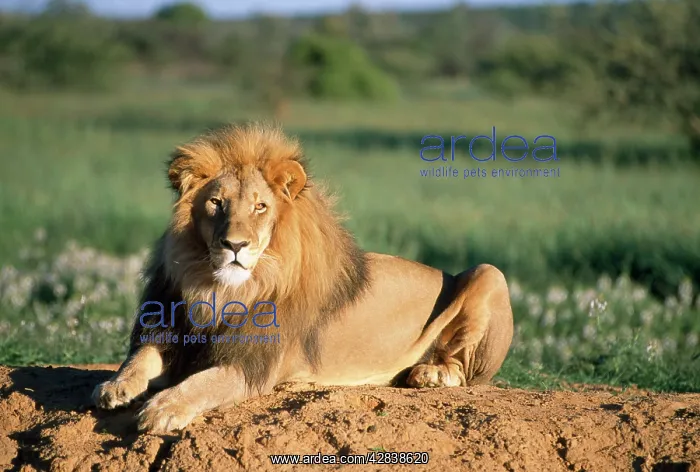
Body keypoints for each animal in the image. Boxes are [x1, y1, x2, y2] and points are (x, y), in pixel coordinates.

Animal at [92, 122, 514, 433]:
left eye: (260, 207)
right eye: (215, 202)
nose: (234, 245)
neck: (217, 289)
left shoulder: (252, 365)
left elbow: (202, 383)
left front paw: (163, 408)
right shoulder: (173, 331)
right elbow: (140, 357)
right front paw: (115, 386)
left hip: (489, 273)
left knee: (466, 373)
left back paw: (431, 374)